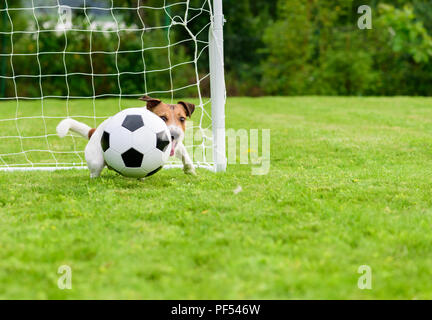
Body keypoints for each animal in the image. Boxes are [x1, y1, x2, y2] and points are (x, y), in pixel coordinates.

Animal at [56, 96, 197, 179]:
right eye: (162, 118)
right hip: (96, 161)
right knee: (94, 173)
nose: (175, 135)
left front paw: (190, 169)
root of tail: (94, 132)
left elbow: (184, 153)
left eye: (182, 119)